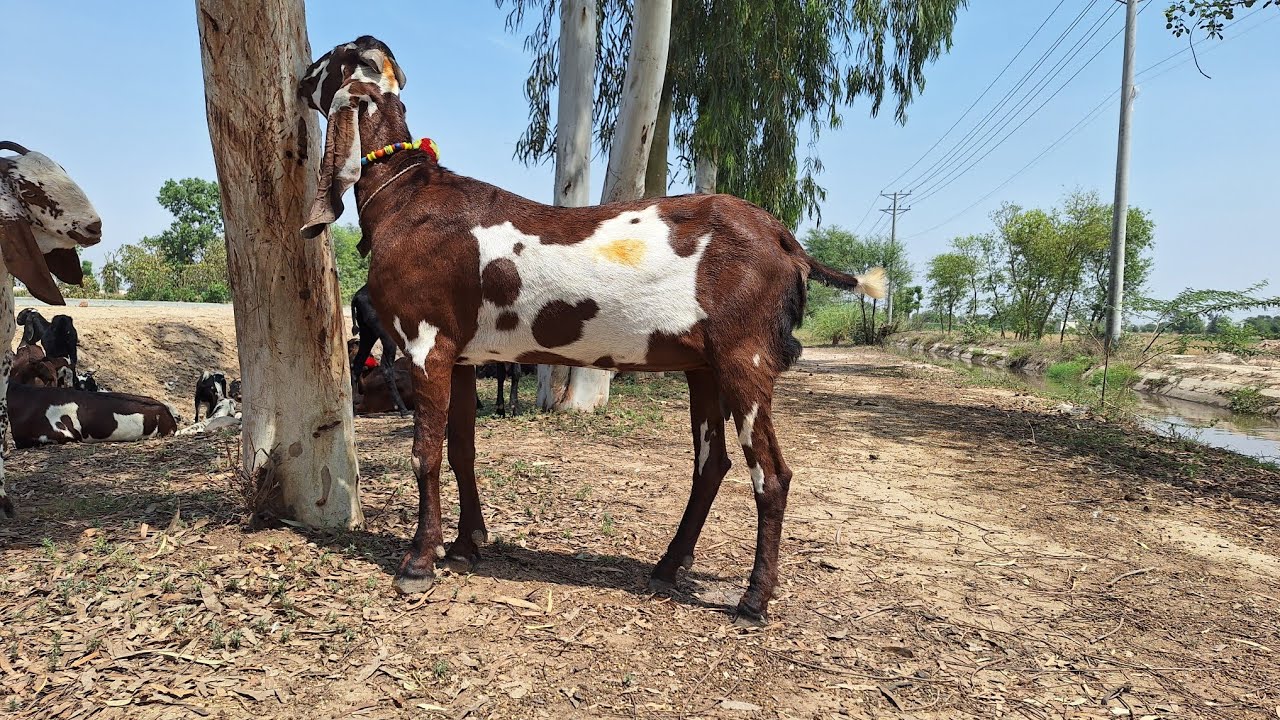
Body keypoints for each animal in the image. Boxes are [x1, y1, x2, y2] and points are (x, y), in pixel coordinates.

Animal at [350, 284, 409, 414]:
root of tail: (358, 296)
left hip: (368, 333)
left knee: (357, 364)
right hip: (386, 334)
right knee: (386, 368)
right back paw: (403, 409)